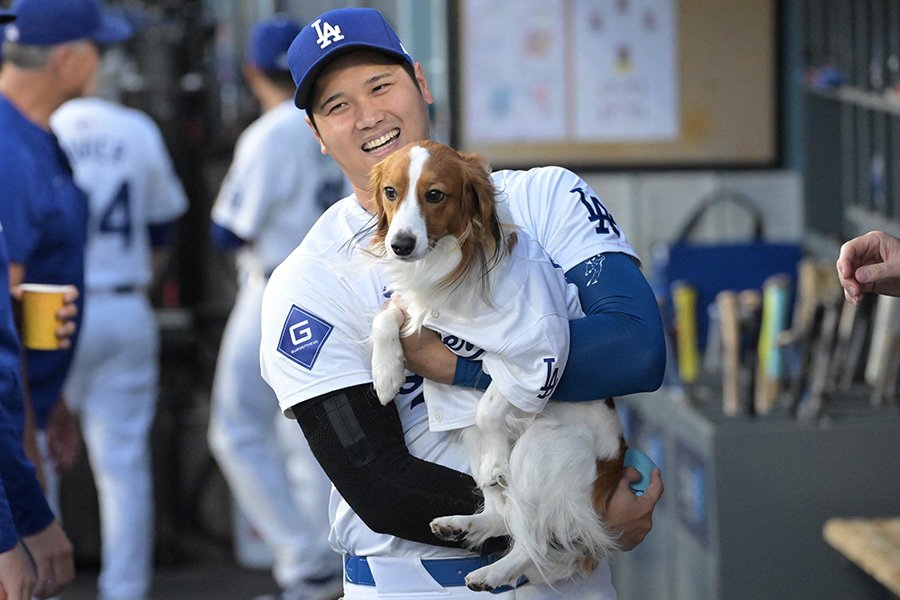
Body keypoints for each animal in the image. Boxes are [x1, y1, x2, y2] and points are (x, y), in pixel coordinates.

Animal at [366, 139, 624, 592]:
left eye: (435, 195)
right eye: (390, 192)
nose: (400, 244)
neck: (449, 262)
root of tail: (615, 463)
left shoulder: (539, 354)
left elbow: (491, 402)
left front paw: (497, 460)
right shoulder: (412, 307)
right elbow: (387, 317)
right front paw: (386, 372)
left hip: (541, 447)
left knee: (534, 534)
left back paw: (495, 570)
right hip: (471, 440)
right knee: (504, 513)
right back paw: (463, 525)